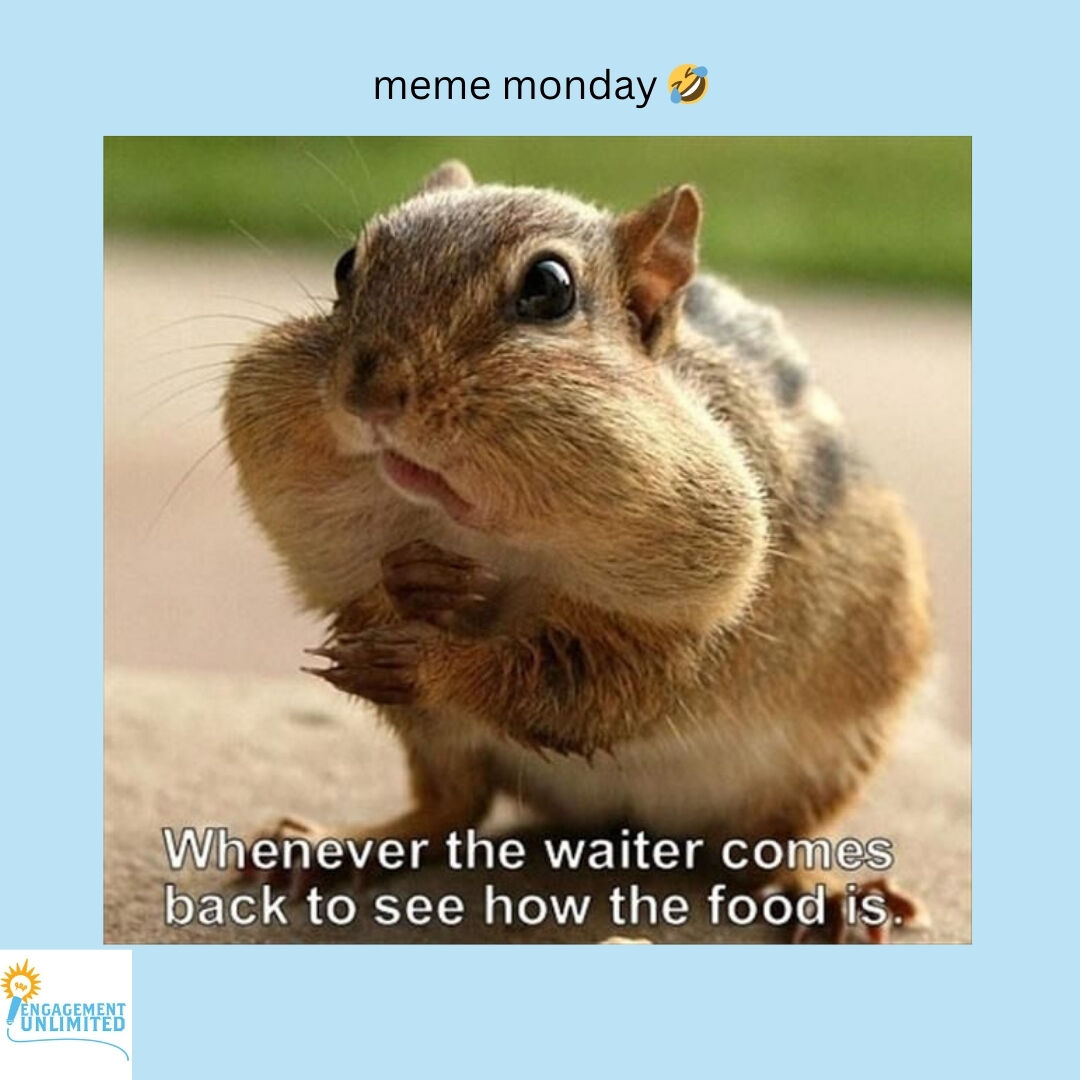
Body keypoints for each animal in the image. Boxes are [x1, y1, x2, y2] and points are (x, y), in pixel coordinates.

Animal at [224, 160, 933, 941]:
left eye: (548, 289)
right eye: (347, 266)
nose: (371, 393)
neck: (486, 532)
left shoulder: (692, 636)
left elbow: (592, 684)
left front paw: (435, 655)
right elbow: (359, 602)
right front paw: (413, 585)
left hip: (827, 755)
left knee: (768, 846)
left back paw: (825, 890)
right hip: (436, 742)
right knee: (449, 810)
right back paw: (342, 845)